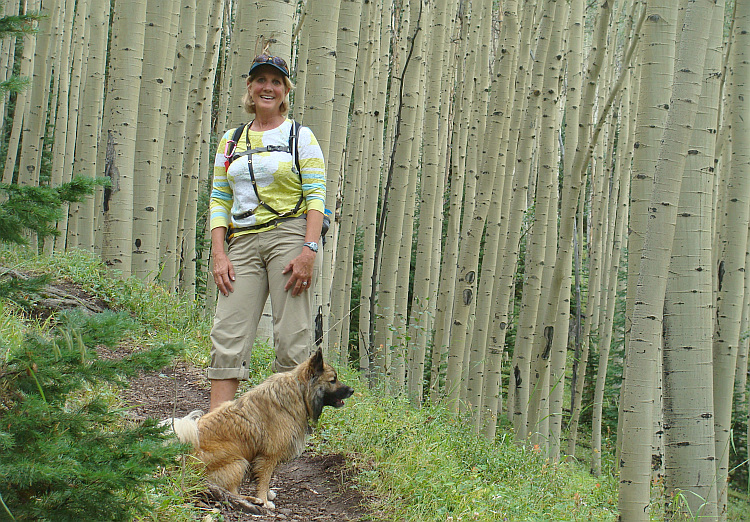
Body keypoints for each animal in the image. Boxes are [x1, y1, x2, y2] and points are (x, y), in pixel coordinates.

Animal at [162, 348, 356, 506]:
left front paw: (268, 494)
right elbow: (264, 478)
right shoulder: (269, 455)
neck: (299, 392)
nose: (352, 390)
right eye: (333, 380)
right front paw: (264, 499)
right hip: (239, 462)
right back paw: (253, 500)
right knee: (231, 493)